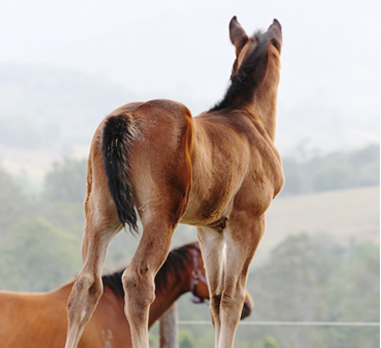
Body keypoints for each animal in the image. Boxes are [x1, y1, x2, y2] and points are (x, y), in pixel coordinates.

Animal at [63, 16, 280, 348]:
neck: (248, 118)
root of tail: (124, 118)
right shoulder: (249, 222)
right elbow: (232, 297)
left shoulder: (210, 230)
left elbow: (215, 299)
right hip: (160, 217)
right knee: (138, 280)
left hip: (100, 213)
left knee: (86, 284)